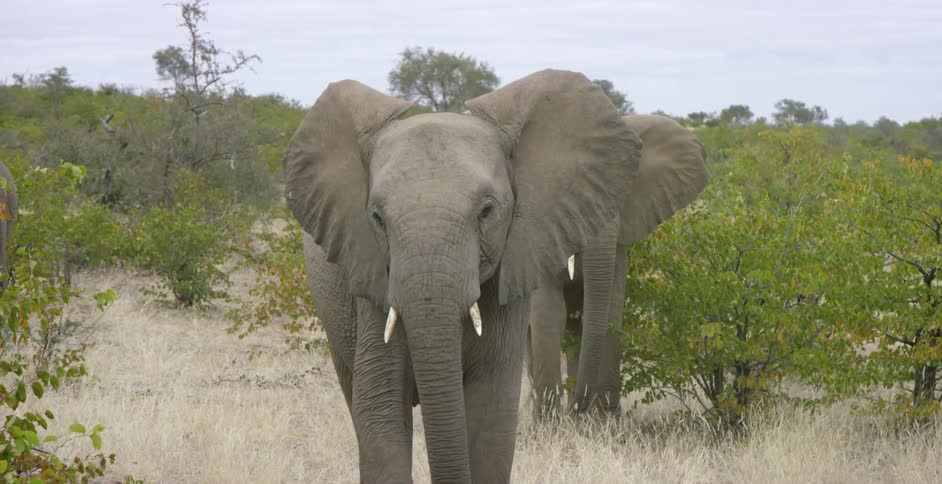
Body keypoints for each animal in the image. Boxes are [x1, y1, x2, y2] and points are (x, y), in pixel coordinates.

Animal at [527, 114, 709, 418]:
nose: (577, 410)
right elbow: (548, 312)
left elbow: (610, 308)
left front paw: (603, 421)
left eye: (625, 186)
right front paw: (549, 424)